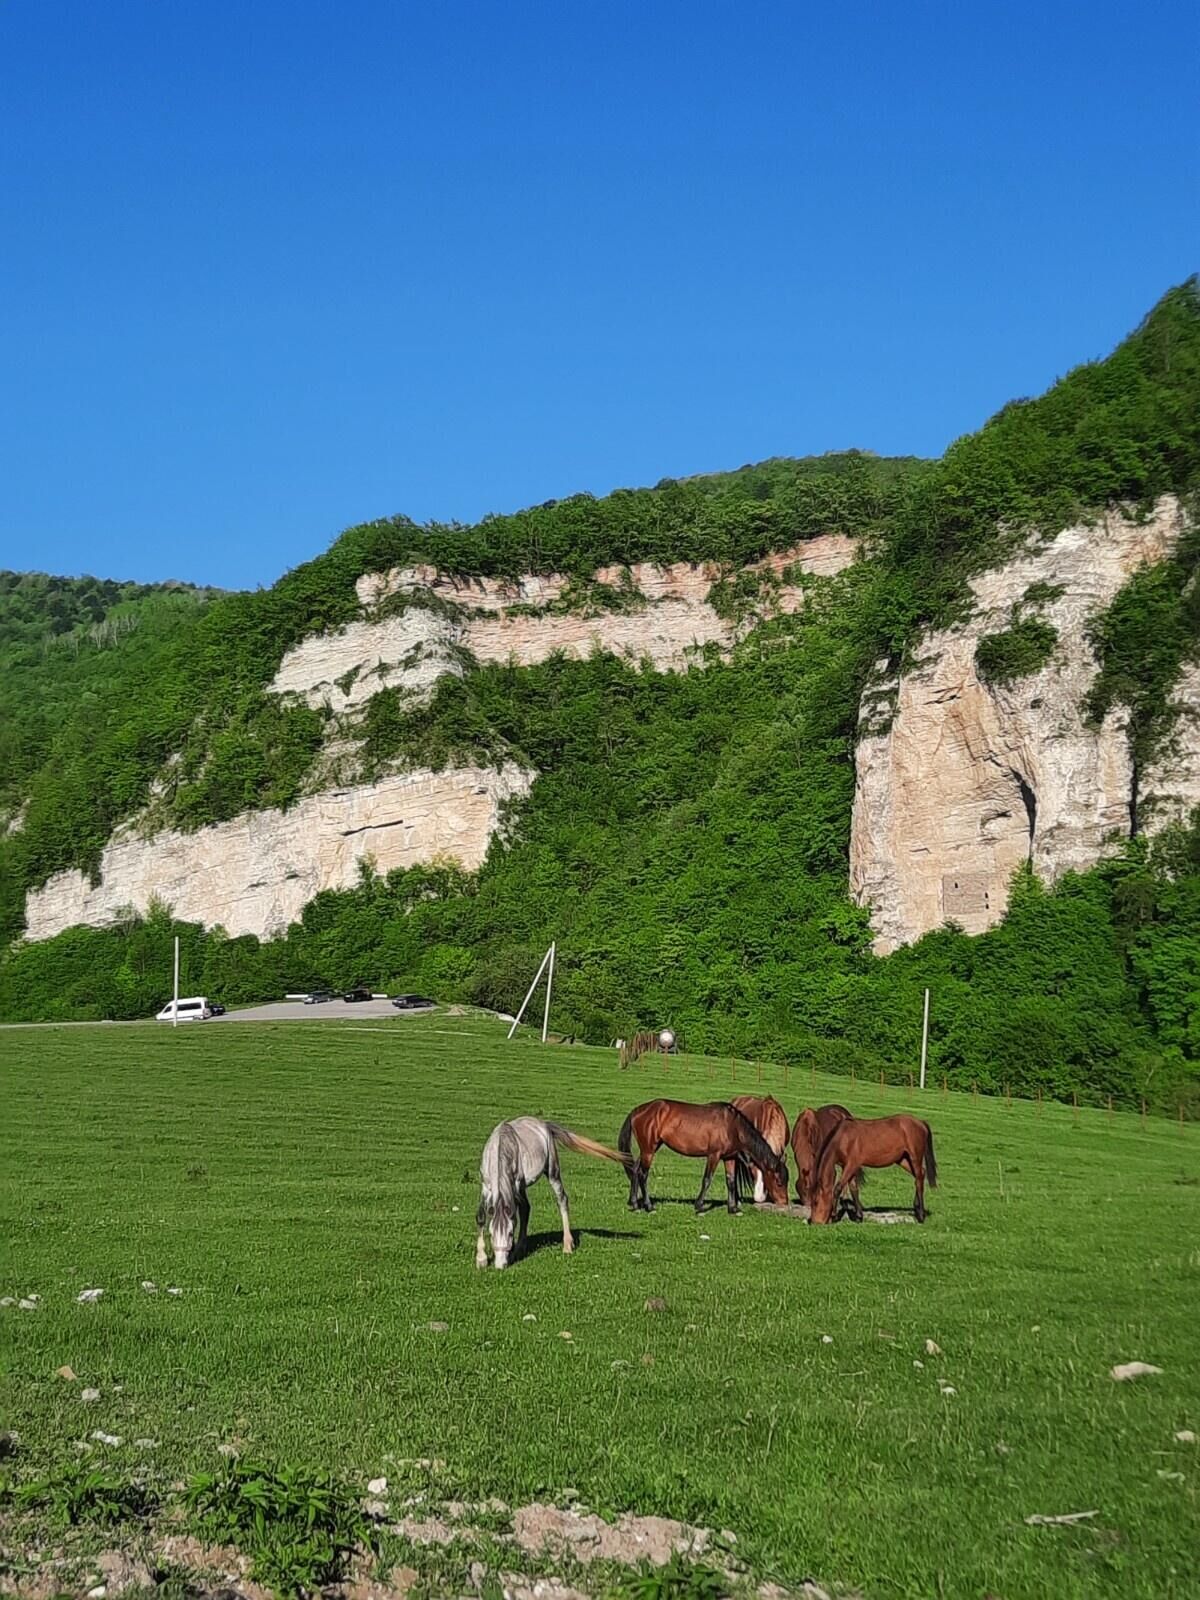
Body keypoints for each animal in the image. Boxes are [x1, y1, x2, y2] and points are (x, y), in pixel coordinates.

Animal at [473, 1120, 633, 1267]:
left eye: (510, 1233)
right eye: (491, 1234)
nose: (501, 1266)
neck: (501, 1147)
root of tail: (543, 1123)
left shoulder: (515, 1186)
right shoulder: (486, 1186)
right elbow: (481, 1217)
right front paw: (481, 1259)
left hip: (552, 1172)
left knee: (561, 1200)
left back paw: (567, 1245)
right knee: (526, 1209)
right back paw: (520, 1248)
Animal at [614, 1100, 793, 1209]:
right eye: (778, 1182)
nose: (784, 1203)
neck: (732, 1125)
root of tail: (638, 1110)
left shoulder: (729, 1157)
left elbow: (731, 1181)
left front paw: (732, 1208)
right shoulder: (714, 1155)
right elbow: (707, 1179)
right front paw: (699, 1205)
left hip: (649, 1148)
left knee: (635, 1169)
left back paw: (634, 1203)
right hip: (649, 1150)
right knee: (643, 1174)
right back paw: (648, 1205)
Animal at [809, 1113, 940, 1222]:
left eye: (815, 1202)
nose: (814, 1221)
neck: (844, 1138)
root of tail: (920, 1122)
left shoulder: (851, 1165)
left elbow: (838, 1188)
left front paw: (834, 1215)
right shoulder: (848, 1166)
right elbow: (853, 1189)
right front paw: (859, 1216)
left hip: (915, 1158)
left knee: (919, 1179)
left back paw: (921, 1215)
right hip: (903, 1160)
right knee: (920, 1175)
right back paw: (916, 1207)